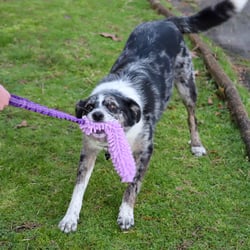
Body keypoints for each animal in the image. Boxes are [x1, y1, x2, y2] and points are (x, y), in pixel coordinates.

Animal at [58, 0, 248, 233]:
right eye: (89, 107)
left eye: (112, 107)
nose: (97, 115)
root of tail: (166, 21)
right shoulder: (88, 151)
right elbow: (78, 188)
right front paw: (70, 218)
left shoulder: (145, 151)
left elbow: (133, 184)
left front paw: (126, 213)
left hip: (187, 84)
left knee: (192, 116)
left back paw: (196, 144)